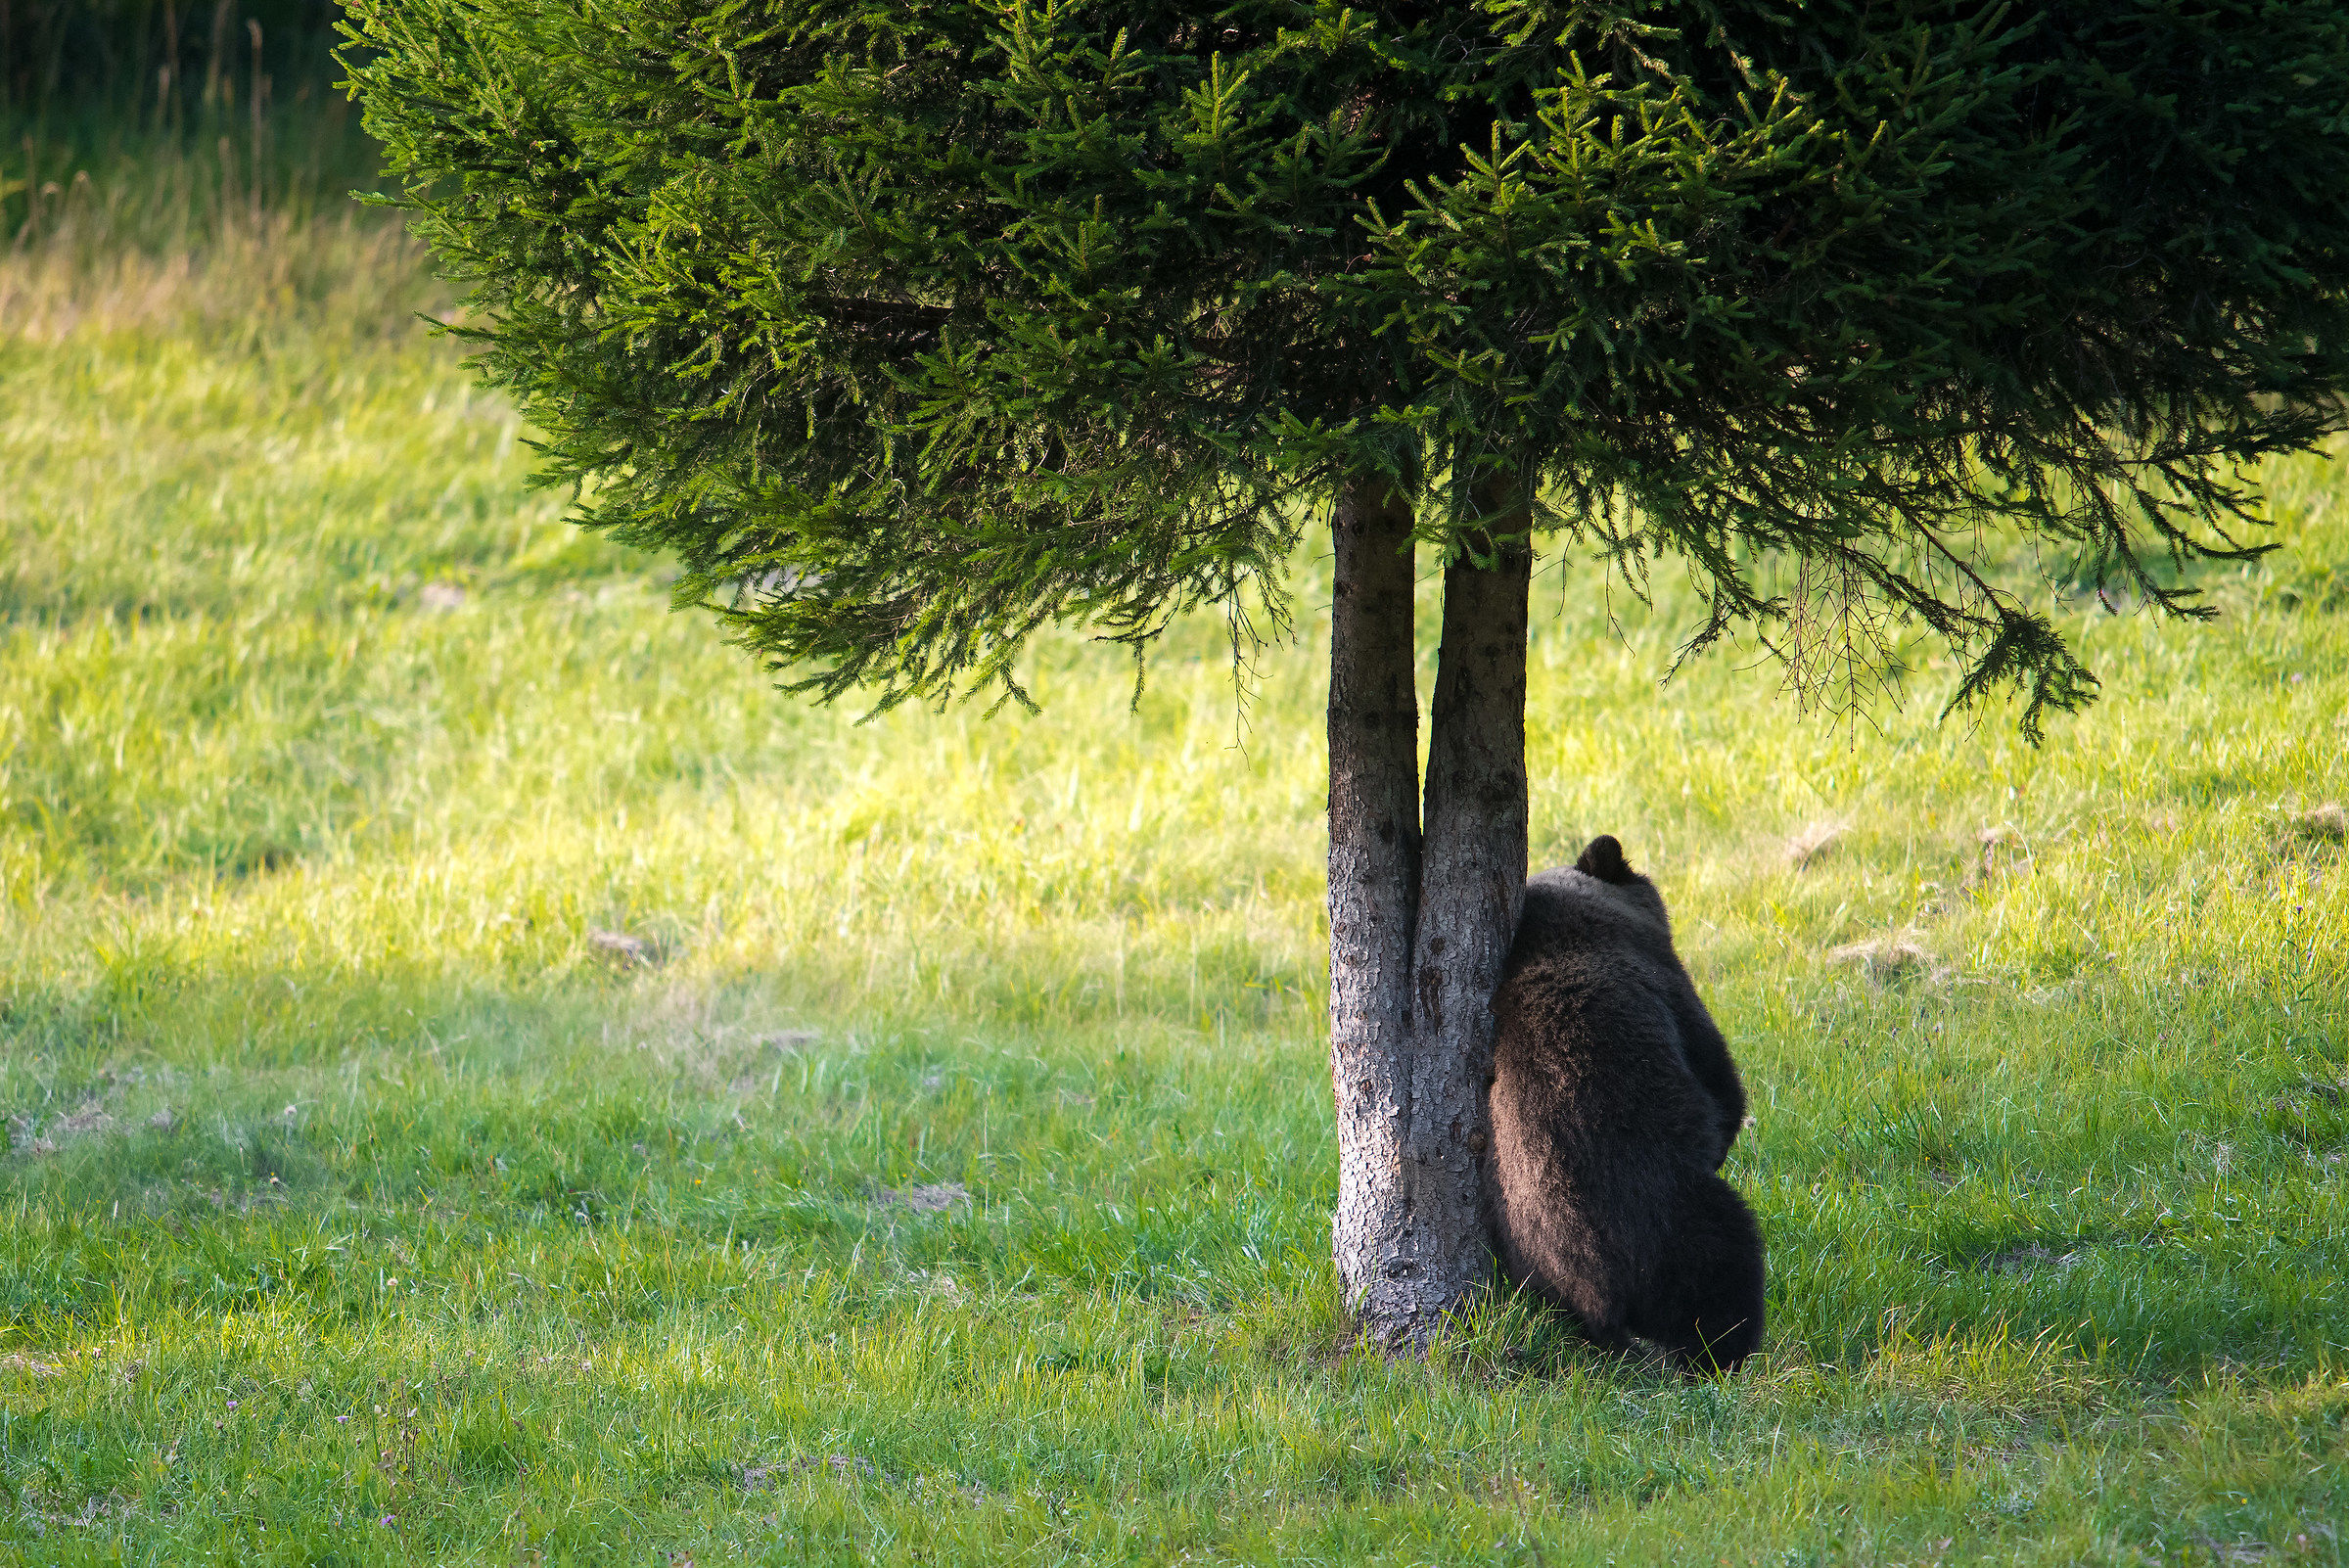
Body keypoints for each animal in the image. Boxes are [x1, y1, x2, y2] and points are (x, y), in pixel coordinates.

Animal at [1485, 834, 1766, 1373]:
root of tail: (1599, 1296)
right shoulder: (1669, 991)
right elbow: (1720, 1083)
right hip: (1669, 1223)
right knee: (1722, 1267)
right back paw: (1724, 1353)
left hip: (1527, 1250)